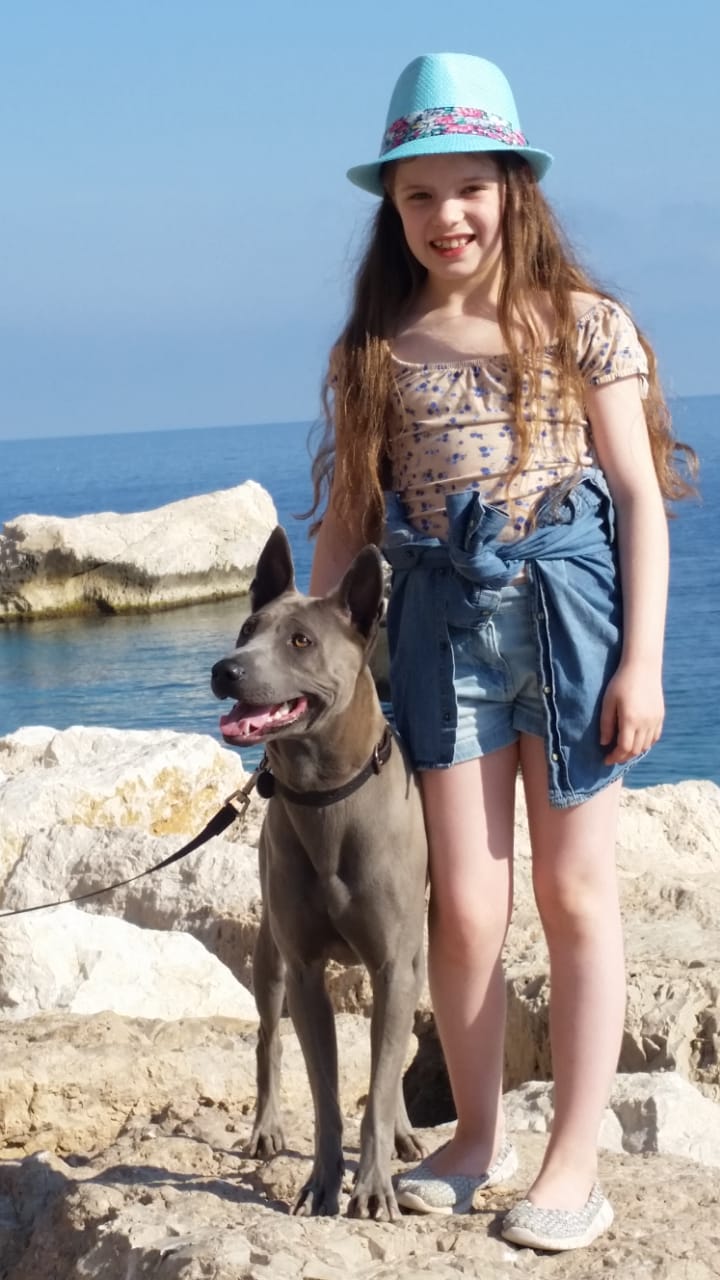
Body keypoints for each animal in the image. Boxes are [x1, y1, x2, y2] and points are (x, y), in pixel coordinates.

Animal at [211, 526, 427, 1220]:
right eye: (246, 628)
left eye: (301, 641)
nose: (226, 669)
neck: (326, 798)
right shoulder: (304, 968)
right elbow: (325, 1091)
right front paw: (324, 1184)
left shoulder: (394, 962)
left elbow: (380, 1082)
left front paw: (373, 1185)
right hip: (269, 955)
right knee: (268, 1040)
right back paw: (266, 1128)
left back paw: (404, 1131)